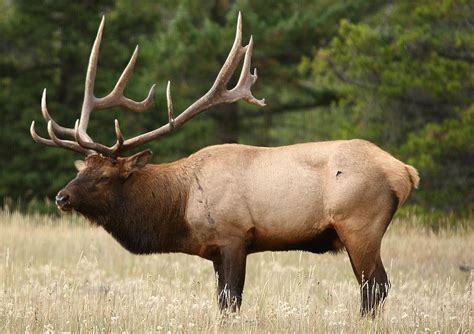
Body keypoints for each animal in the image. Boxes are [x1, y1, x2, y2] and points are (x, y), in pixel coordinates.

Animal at [29, 13, 418, 316]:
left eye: (105, 176)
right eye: (82, 170)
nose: (61, 197)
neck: (181, 205)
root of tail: (406, 172)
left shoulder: (235, 236)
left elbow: (231, 302)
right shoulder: (215, 250)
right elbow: (221, 302)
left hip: (360, 225)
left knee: (376, 287)